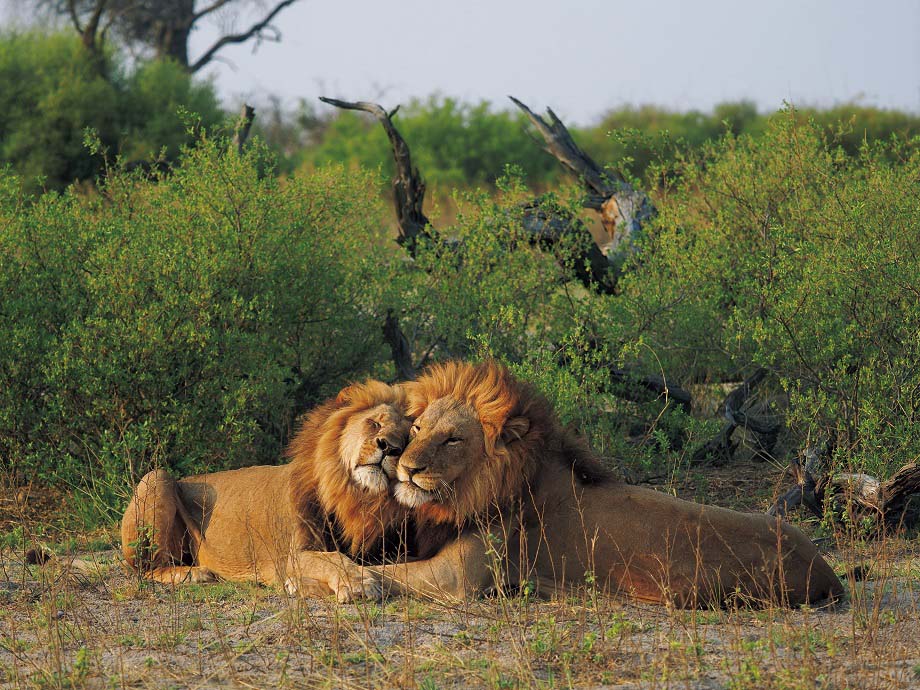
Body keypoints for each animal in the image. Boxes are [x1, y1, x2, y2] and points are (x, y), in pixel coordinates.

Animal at [120, 378, 412, 600]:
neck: (351, 494)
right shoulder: (291, 555)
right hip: (158, 476)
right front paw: (359, 583)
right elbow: (333, 557)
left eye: (404, 440)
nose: (390, 447)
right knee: (146, 568)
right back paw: (192, 573)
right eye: (375, 423)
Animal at [370, 360, 844, 608]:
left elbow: (373, 571)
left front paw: (357, 585)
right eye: (417, 430)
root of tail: (828, 573)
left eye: (453, 439)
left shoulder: (458, 578)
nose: (405, 468)